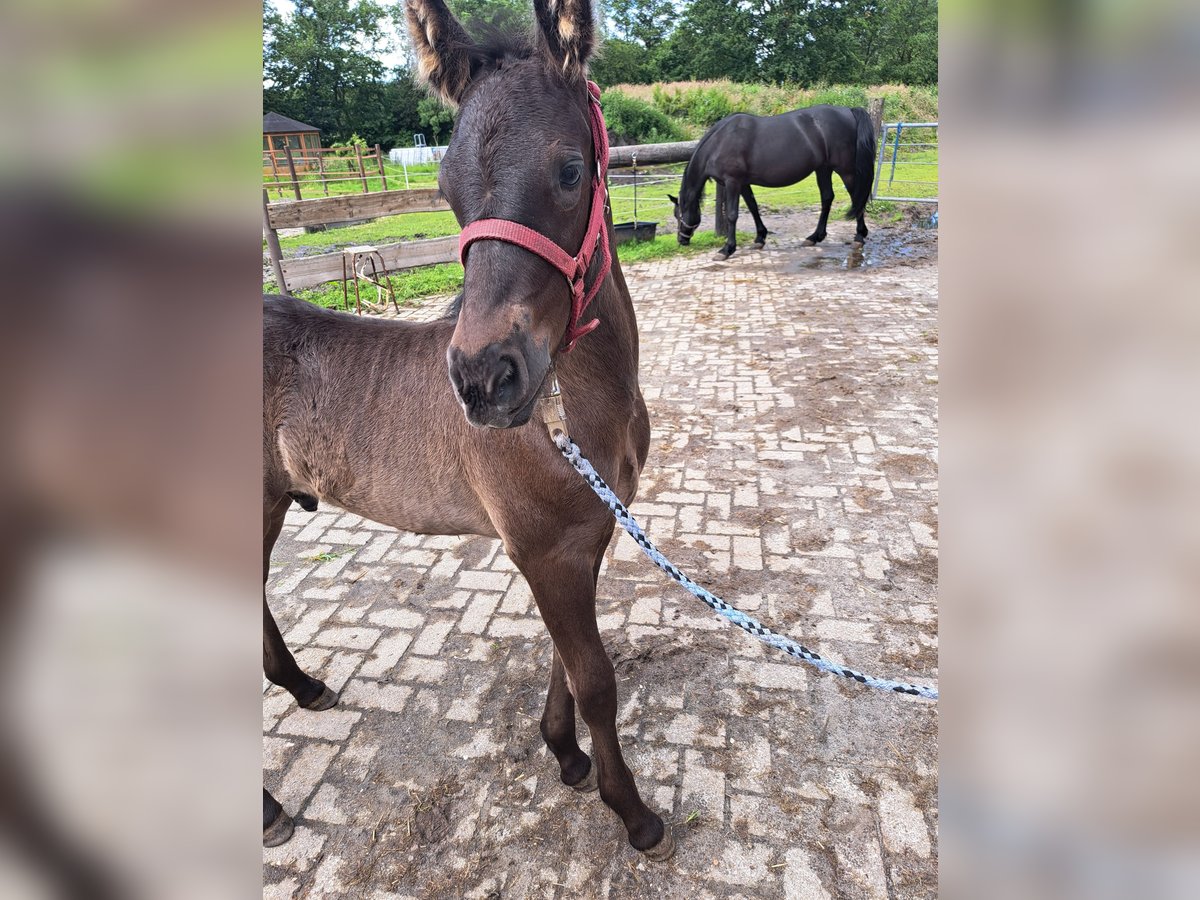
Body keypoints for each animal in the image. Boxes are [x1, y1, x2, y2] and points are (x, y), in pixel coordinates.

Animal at [264, 0, 676, 864]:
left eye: (569, 169)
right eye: (446, 189)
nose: (485, 380)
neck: (570, 416)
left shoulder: (584, 538)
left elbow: (564, 662)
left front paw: (565, 756)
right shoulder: (545, 550)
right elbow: (596, 679)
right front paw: (632, 812)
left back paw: (308, 690)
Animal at [672, 106, 878, 262]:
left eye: (677, 214)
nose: (681, 241)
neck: (720, 141)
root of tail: (848, 110)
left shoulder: (732, 183)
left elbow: (732, 215)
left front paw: (727, 249)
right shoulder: (743, 184)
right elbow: (753, 207)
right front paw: (760, 237)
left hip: (845, 170)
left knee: (856, 197)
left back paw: (859, 236)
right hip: (823, 169)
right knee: (827, 198)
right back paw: (814, 237)